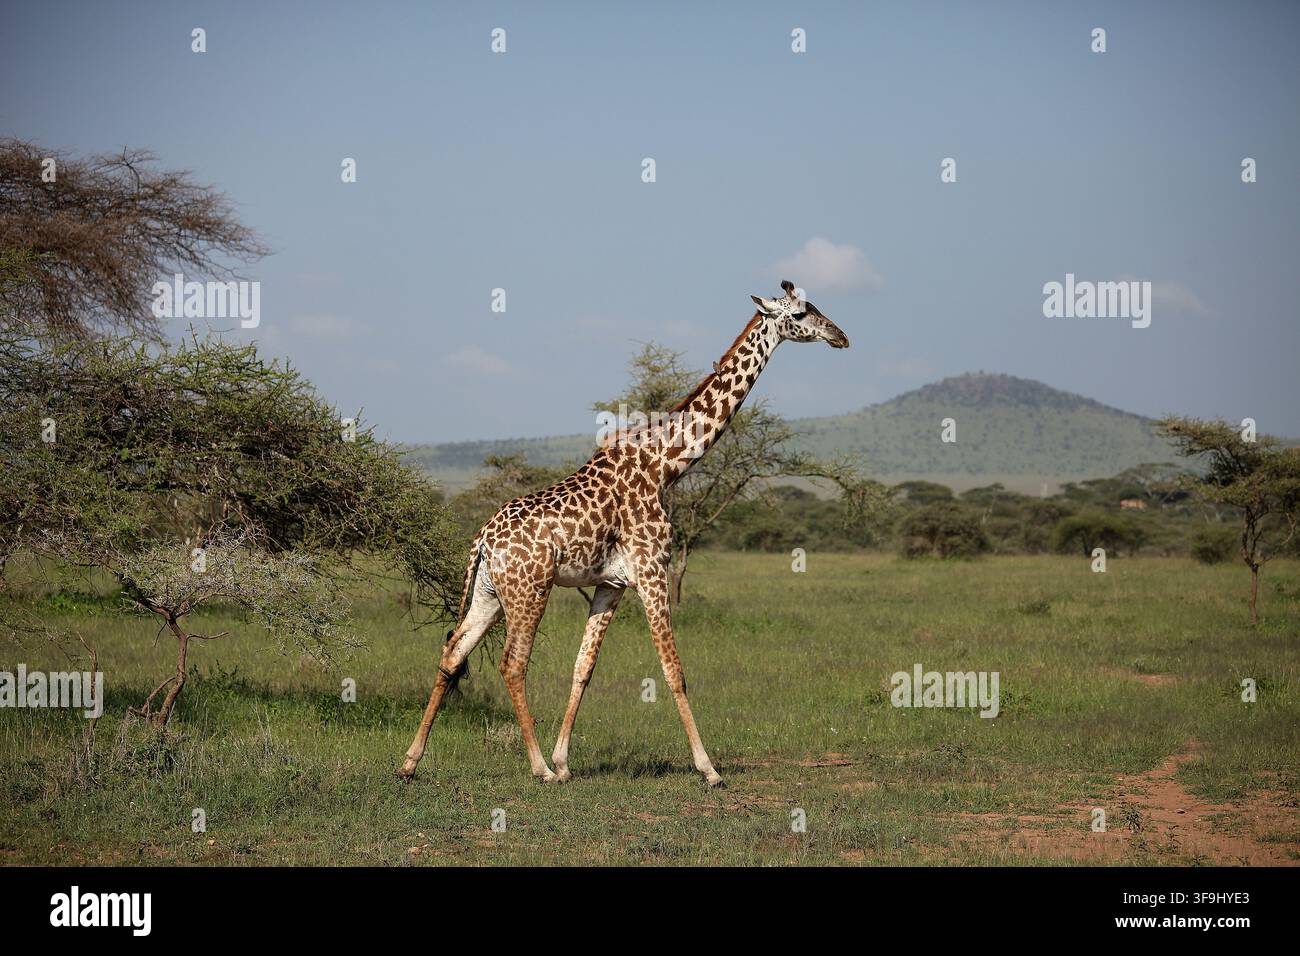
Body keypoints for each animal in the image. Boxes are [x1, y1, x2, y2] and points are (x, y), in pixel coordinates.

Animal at [398, 281, 849, 787]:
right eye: (802, 312)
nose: (840, 336)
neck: (666, 463)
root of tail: (483, 540)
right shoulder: (652, 571)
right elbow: (673, 670)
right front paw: (708, 768)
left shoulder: (611, 584)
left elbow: (583, 667)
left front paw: (565, 761)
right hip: (530, 590)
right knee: (512, 663)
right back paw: (536, 767)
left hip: (490, 593)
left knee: (453, 652)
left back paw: (411, 761)